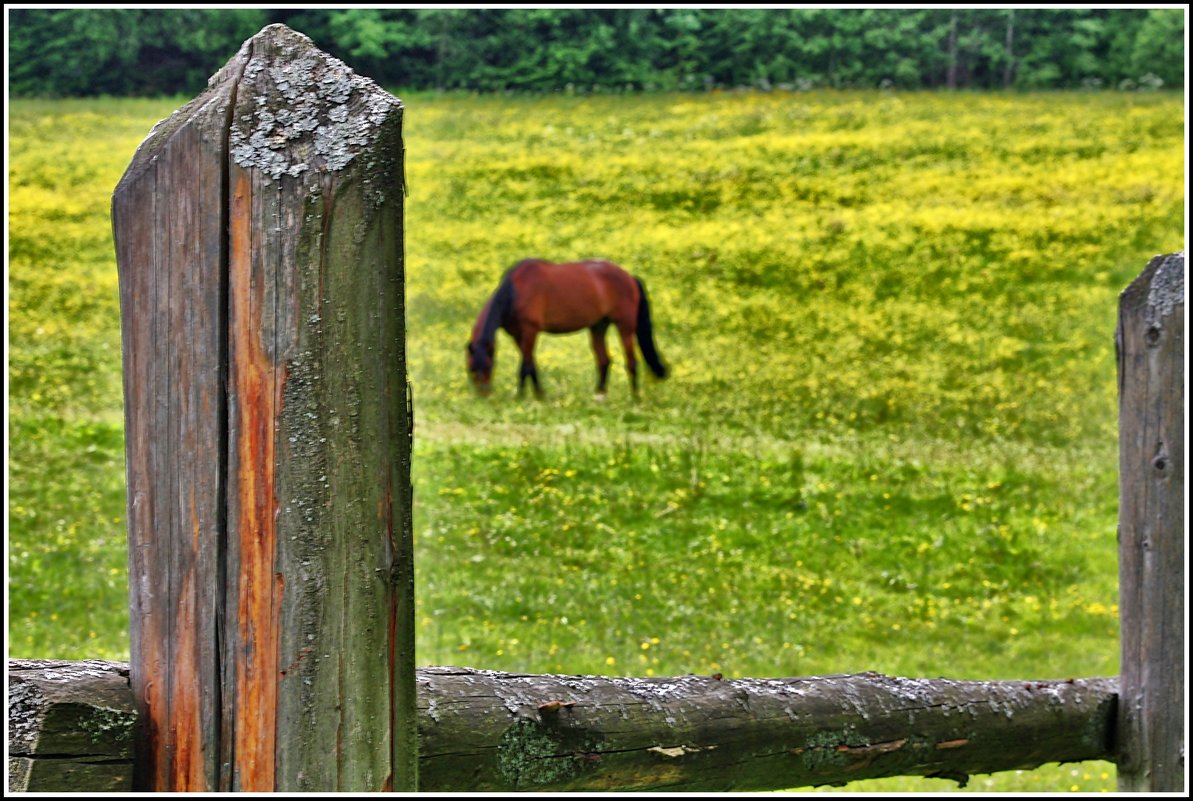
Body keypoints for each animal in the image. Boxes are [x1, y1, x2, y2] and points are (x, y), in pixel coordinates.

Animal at [467, 260, 672, 398]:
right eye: (471, 368)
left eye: (489, 366)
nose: (484, 396)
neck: (514, 293)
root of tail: (630, 277)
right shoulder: (518, 336)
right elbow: (531, 365)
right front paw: (540, 395)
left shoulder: (530, 332)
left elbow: (524, 367)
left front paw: (521, 397)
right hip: (598, 326)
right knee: (604, 360)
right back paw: (599, 395)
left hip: (625, 326)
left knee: (631, 362)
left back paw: (635, 399)